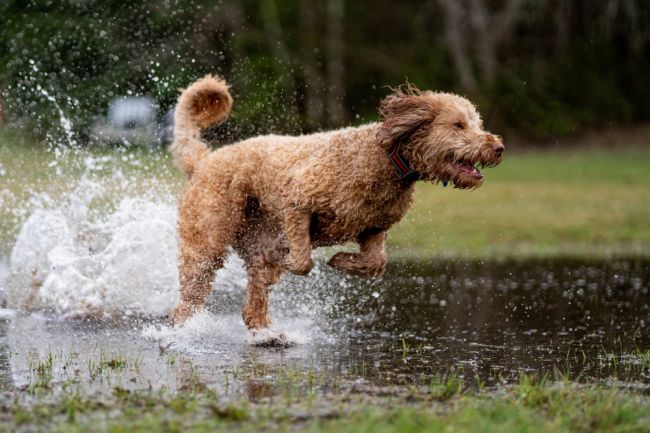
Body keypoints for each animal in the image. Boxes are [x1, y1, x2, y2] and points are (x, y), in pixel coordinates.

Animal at [167, 75, 502, 344]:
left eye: (478, 124)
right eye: (458, 125)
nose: (497, 147)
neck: (384, 155)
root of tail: (204, 160)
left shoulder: (374, 228)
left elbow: (375, 263)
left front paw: (341, 261)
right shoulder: (298, 200)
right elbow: (302, 261)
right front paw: (297, 259)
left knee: (254, 302)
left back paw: (265, 334)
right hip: (206, 241)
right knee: (190, 296)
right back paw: (183, 331)